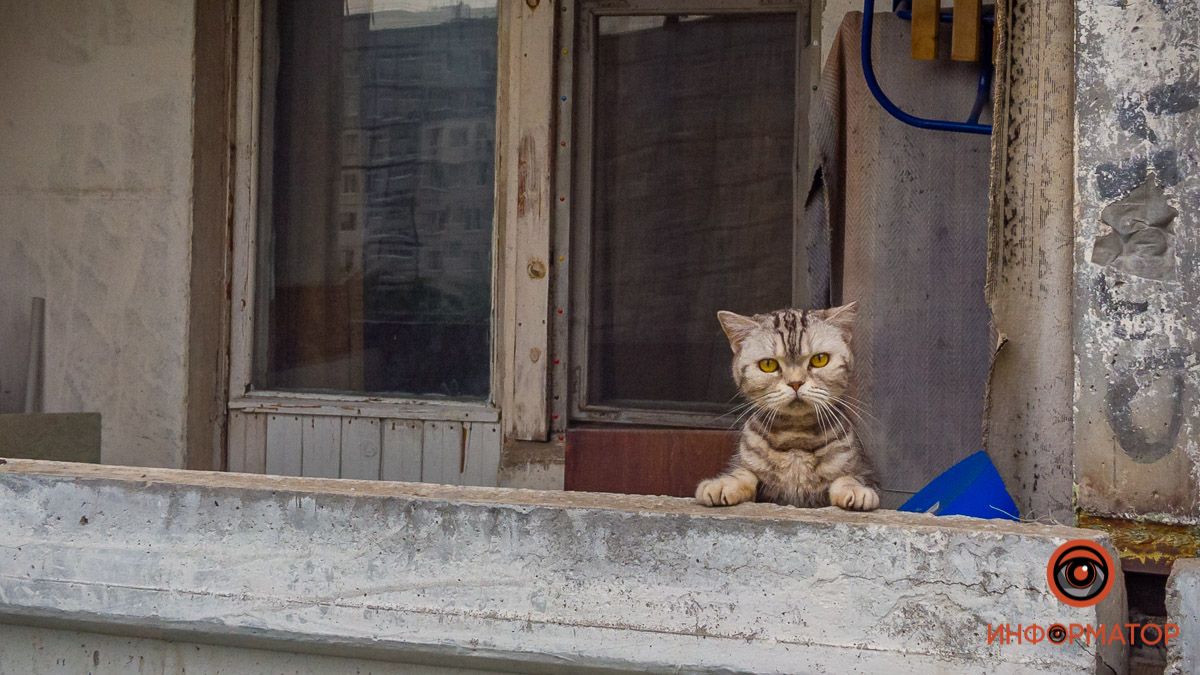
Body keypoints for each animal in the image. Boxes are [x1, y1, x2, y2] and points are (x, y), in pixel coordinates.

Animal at [696, 302, 883, 506]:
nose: (795, 383)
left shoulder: (862, 470)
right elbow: (743, 473)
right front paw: (723, 483)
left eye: (820, 359)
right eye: (768, 364)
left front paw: (855, 489)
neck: (795, 437)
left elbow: (848, 477)